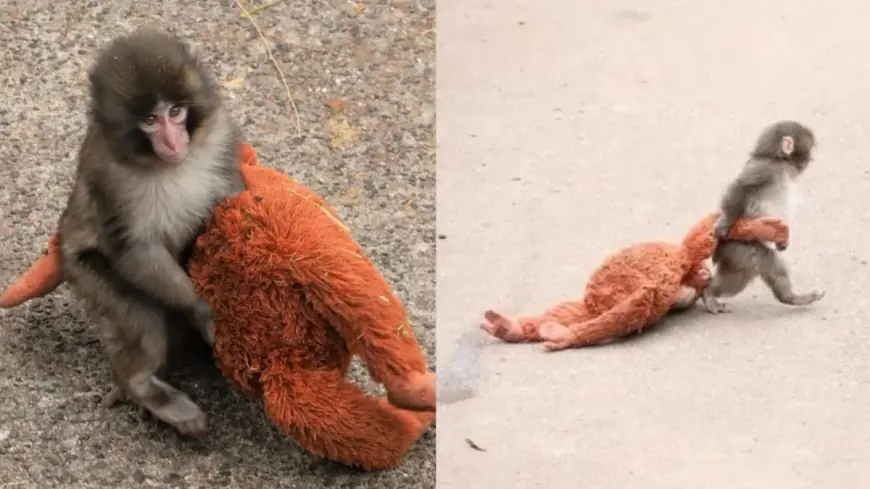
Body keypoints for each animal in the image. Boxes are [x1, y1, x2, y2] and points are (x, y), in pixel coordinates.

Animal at [56, 28, 245, 436]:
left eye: (175, 112)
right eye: (148, 120)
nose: (173, 141)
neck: (168, 165)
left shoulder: (220, 136)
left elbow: (233, 199)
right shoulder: (110, 178)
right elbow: (135, 251)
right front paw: (201, 310)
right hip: (83, 271)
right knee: (139, 320)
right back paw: (144, 387)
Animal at [702, 120, 825, 314]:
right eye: (809, 150)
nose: (810, 160)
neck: (779, 161)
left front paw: (782, 241)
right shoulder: (764, 169)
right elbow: (741, 187)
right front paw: (724, 222)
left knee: (738, 277)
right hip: (739, 246)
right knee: (766, 262)